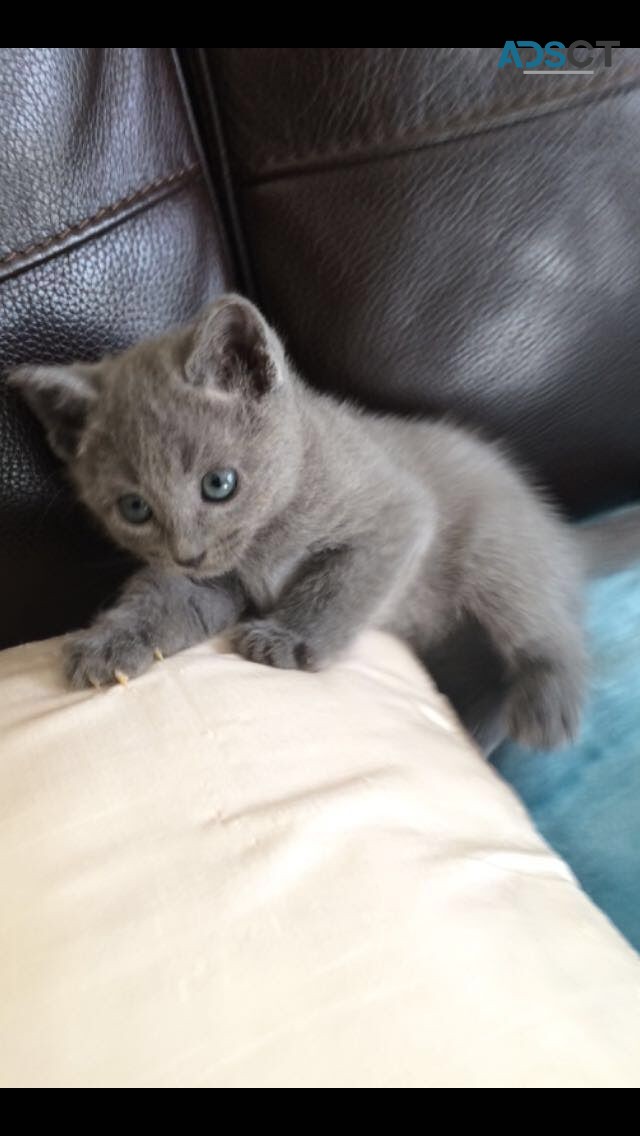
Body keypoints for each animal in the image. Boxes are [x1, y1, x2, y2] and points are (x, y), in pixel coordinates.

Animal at [8, 297, 640, 749]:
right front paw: (110, 643)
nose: (187, 553)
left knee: (547, 625)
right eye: (134, 508)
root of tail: (558, 534)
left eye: (219, 484)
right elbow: (168, 599)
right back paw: (481, 727)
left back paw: (547, 702)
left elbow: (340, 580)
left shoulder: (396, 511)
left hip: (495, 549)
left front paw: (289, 639)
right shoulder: (213, 578)